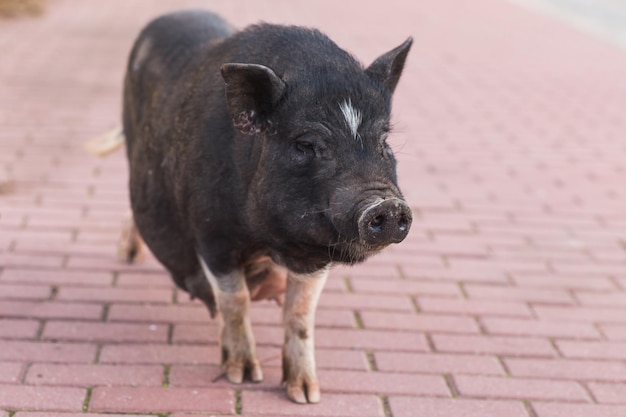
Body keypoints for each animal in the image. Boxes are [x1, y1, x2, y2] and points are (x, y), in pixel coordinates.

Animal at [121, 10, 412, 404]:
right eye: (306, 144)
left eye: (383, 141)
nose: (388, 205)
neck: (271, 242)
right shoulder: (211, 234)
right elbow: (235, 300)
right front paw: (243, 376)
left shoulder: (316, 252)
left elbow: (300, 313)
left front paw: (306, 395)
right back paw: (128, 257)